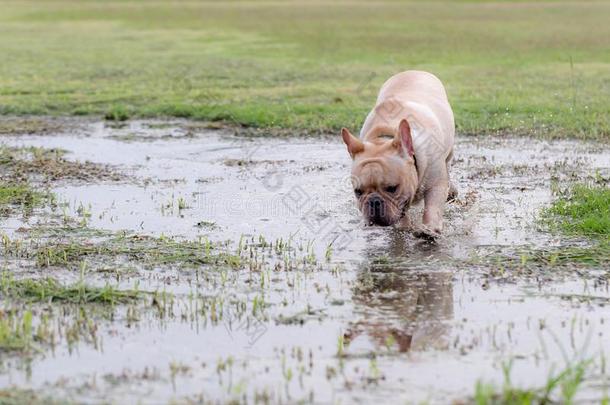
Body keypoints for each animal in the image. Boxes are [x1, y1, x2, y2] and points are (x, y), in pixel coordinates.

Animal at [340, 71, 454, 238]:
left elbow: (432, 207)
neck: (385, 135)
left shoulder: (436, 184)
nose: (374, 201)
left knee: (447, 164)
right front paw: (404, 228)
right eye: (358, 192)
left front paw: (429, 229)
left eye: (392, 188)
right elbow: (401, 215)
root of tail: (413, 71)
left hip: (449, 150)